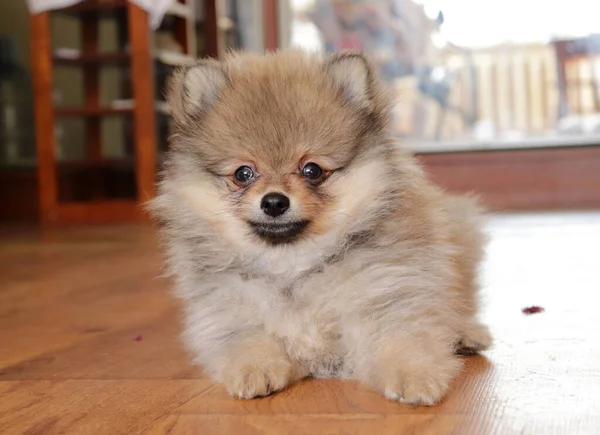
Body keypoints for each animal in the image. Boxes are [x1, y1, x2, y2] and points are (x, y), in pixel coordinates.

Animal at [150, 49, 492, 408]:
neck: (292, 265)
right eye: (243, 173)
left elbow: (402, 339)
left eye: (312, 169)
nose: (274, 202)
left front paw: (414, 376)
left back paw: (466, 332)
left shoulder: (388, 291)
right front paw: (254, 369)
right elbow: (247, 340)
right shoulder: (227, 311)